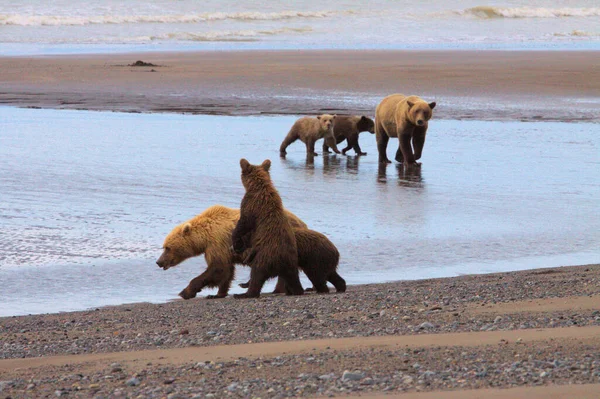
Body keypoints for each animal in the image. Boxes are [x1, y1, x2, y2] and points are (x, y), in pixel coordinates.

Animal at [231, 158, 304, 298]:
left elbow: (244, 223)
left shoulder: (250, 205)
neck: (259, 186)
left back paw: (244, 293)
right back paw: (297, 290)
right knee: (293, 279)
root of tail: (280, 263)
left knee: (256, 274)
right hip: (291, 262)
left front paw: (236, 241)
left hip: (265, 256)